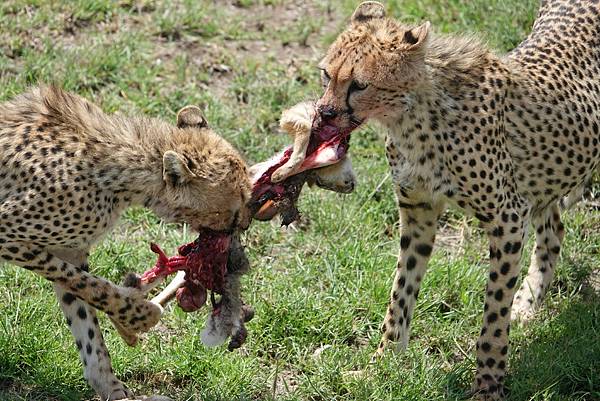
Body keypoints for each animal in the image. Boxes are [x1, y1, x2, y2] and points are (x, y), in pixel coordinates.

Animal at [0, 86, 252, 398]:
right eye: (238, 203)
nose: (247, 221)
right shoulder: (7, 232)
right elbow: (95, 288)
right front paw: (140, 315)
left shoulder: (69, 250)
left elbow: (84, 309)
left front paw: (110, 386)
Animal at [278, 1, 600, 398]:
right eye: (327, 75)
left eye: (359, 84)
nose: (324, 114)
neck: (414, 116)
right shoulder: (419, 211)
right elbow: (400, 293)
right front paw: (381, 365)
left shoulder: (507, 218)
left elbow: (494, 311)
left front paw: (488, 383)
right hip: (542, 179)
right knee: (554, 228)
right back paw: (529, 302)